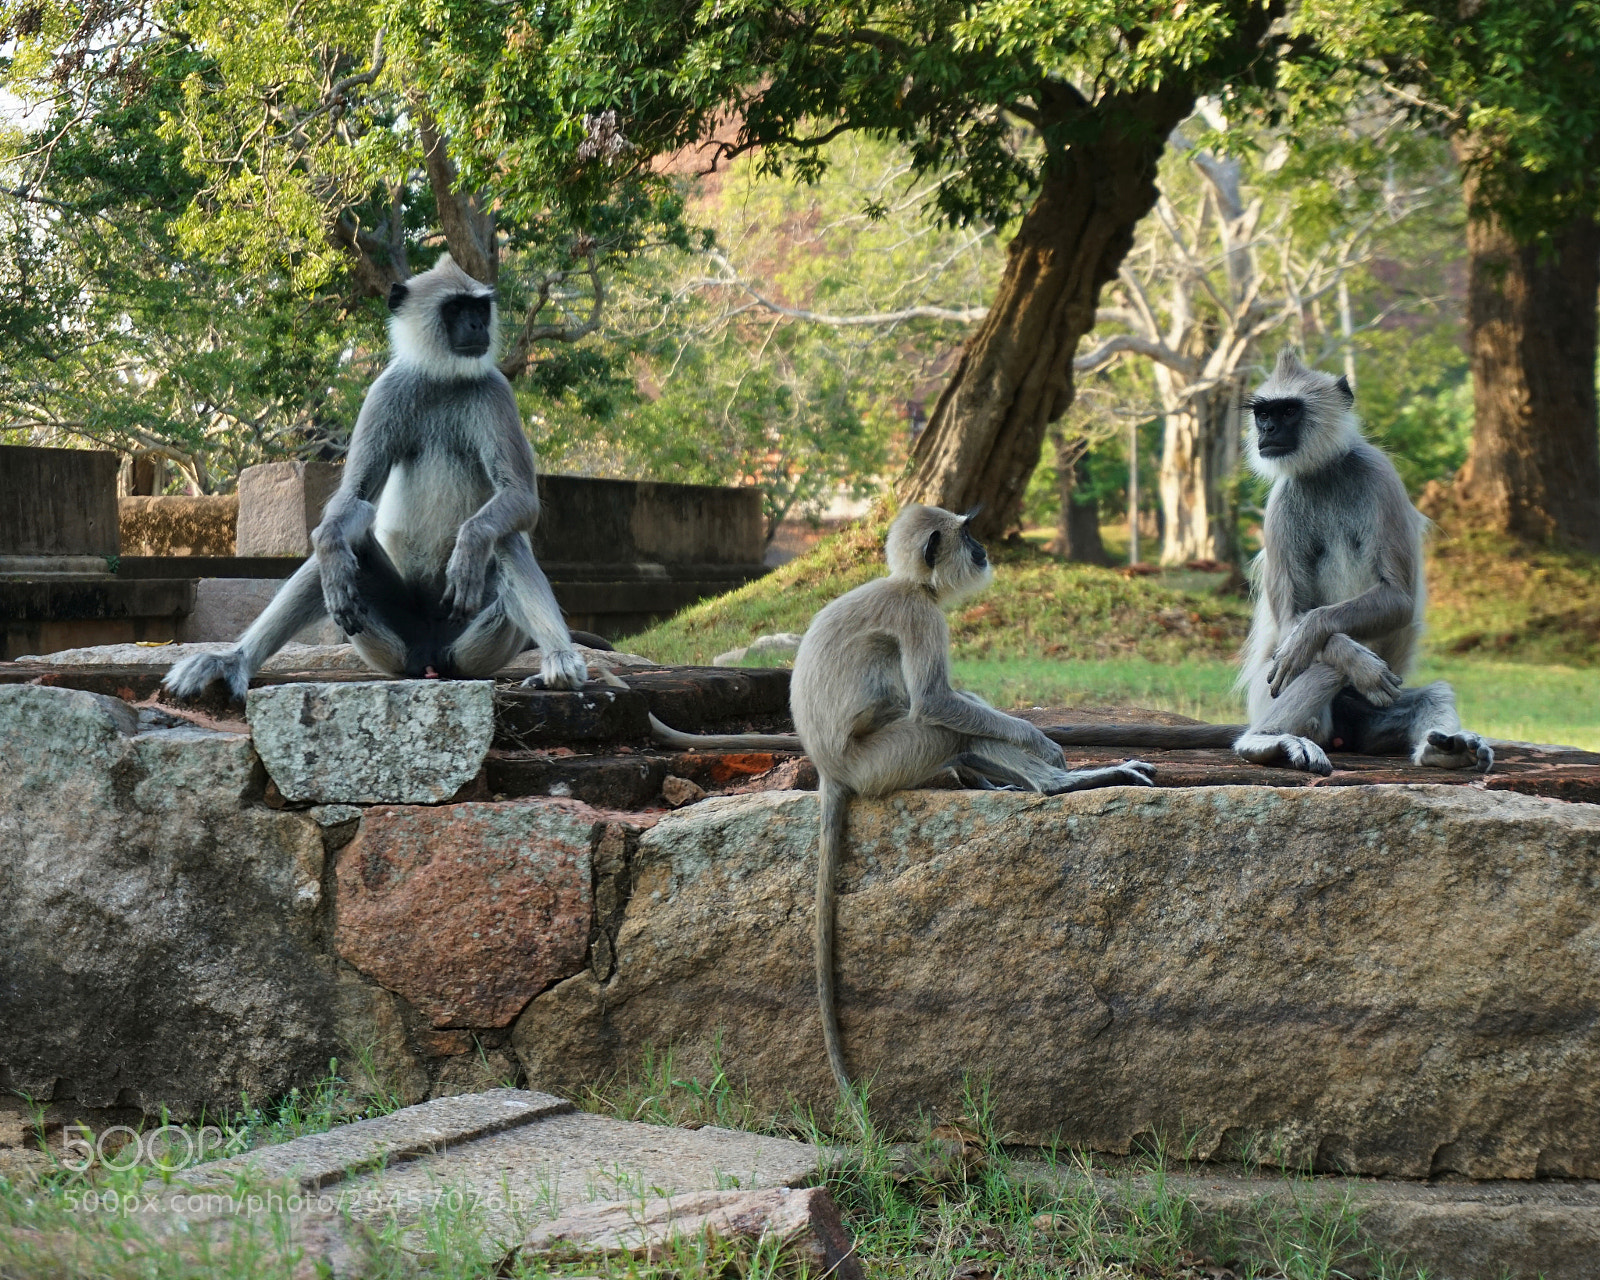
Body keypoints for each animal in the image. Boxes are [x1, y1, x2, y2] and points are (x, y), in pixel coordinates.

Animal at [163, 255, 590, 702]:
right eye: (456, 309)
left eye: (479, 308)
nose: (477, 326)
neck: (442, 377)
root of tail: (431, 658)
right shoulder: (386, 390)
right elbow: (354, 499)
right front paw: (331, 548)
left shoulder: (495, 391)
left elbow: (518, 498)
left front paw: (470, 546)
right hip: (393, 646)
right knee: (342, 543)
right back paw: (234, 660)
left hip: (474, 644)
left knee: (503, 535)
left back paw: (559, 661)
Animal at [652, 504, 1155, 1099]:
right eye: (969, 534)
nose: (985, 548)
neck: (911, 584)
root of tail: (829, 769)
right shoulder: (920, 615)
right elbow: (936, 701)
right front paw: (1041, 743)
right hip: (881, 761)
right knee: (940, 725)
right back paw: (1056, 784)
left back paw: (987, 779)